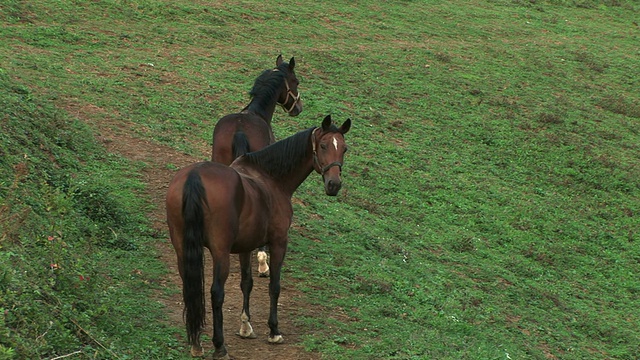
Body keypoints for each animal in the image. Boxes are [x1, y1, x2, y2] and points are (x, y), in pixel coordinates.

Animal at [166, 116, 350, 360]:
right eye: (323, 146)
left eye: (344, 148)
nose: (334, 184)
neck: (271, 179)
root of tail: (195, 176)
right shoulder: (279, 242)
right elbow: (274, 285)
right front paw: (274, 331)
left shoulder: (246, 246)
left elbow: (247, 282)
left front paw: (246, 326)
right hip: (220, 252)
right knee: (216, 292)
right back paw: (219, 346)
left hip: (181, 247)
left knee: (191, 288)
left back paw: (196, 343)